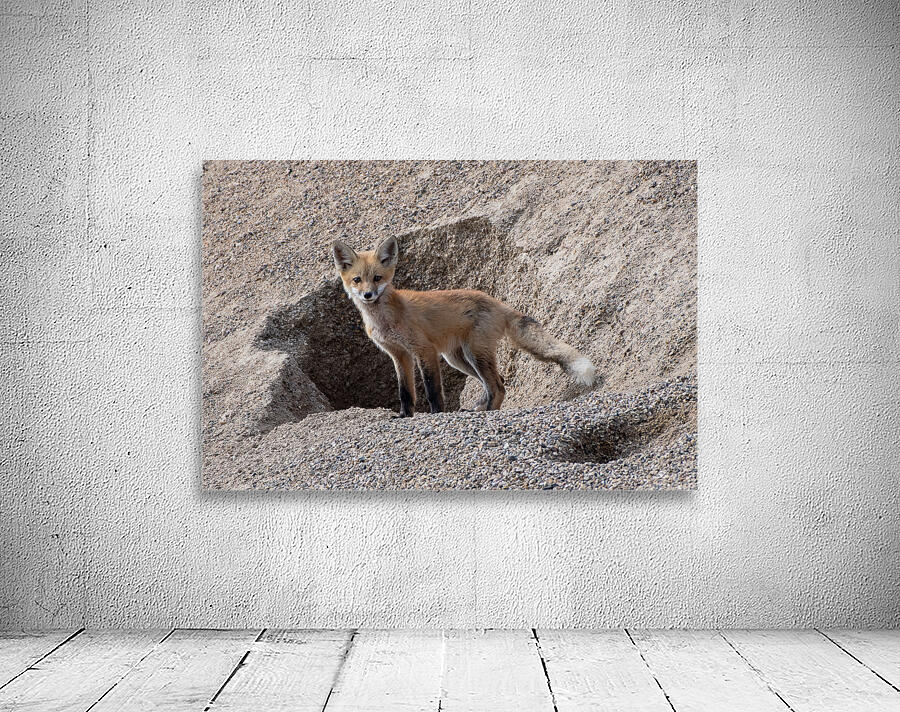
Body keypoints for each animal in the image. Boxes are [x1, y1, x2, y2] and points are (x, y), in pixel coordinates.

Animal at [332, 235, 596, 417]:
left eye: (377, 278)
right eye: (357, 280)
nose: (367, 295)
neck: (386, 319)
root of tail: (496, 301)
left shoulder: (424, 350)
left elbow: (432, 390)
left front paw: (437, 414)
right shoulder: (399, 354)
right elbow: (405, 391)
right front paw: (405, 416)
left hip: (474, 354)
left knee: (498, 386)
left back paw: (488, 412)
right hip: (459, 358)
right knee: (496, 382)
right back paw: (479, 408)